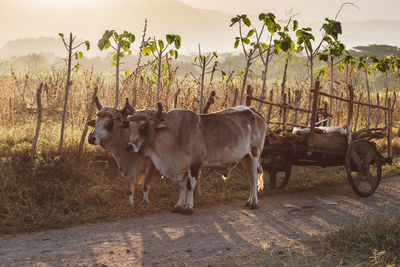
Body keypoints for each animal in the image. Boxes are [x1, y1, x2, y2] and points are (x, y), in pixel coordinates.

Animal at [125, 102, 266, 216]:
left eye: (143, 126)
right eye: (131, 126)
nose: (129, 146)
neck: (175, 133)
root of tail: (254, 111)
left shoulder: (194, 165)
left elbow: (190, 185)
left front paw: (188, 207)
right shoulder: (181, 165)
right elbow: (182, 186)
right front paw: (178, 205)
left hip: (254, 154)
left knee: (253, 178)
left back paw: (254, 203)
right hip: (245, 158)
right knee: (250, 179)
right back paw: (248, 201)